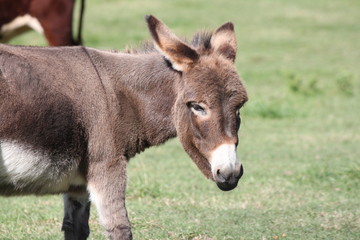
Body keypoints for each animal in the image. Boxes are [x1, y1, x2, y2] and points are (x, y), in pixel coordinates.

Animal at [0, 15, 248, 239]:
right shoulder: (107, 165)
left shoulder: (77, 185)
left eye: (240, 107)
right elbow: (120, 229)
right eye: (197, 107)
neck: (118, 95)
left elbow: (76, 229)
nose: (230, 173)